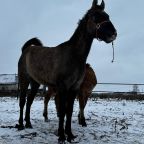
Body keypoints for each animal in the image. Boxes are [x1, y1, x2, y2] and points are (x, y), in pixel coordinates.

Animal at [16, 0, 117, 143]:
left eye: (107, 16)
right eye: (95, 16)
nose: (113, 34)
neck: (73, 55)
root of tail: (26, 49)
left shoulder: (74, 88)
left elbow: (69, 111)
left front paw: (70, 135)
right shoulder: (63, 88)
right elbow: (63, 110)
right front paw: (61, 136)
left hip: (35, 83)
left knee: (29, 102)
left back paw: (29, 124)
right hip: (24, 80)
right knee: (23, 101)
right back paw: (20, 125)